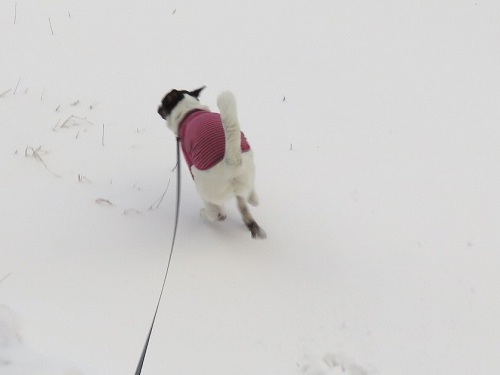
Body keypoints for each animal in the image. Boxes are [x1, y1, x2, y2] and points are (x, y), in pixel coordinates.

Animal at [157, 86, 266, 239]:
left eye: (164, 102)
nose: (157, 108)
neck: (190, 110)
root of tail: (231, 163)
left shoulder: (188, 157)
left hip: (203, 185)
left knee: (216, 213)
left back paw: (205, 214)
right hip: (247, 172)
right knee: (247, 197)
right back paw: (252, 202)